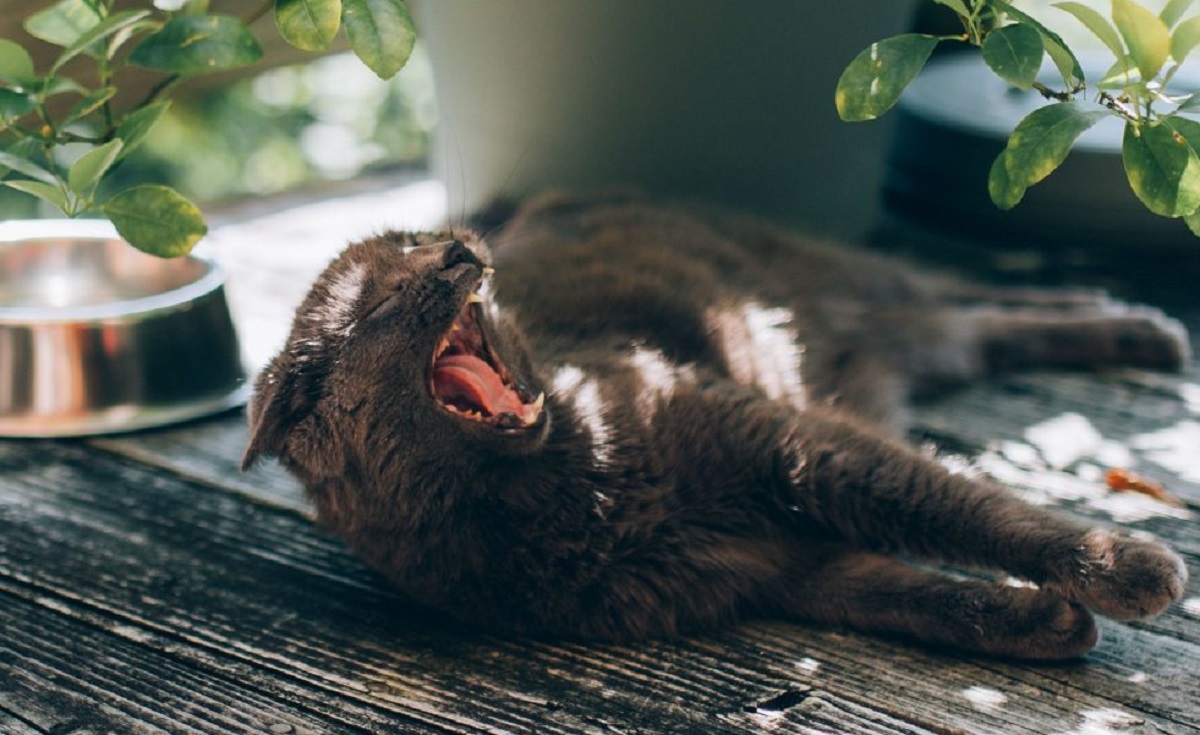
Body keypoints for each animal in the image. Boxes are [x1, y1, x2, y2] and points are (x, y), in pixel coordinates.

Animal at [243, 190, 1190, 658]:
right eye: (384, 300)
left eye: (421, 238)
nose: (457, 249)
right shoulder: (768, 571)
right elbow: (909, 596)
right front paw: (1045, 624)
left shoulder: (797, 446)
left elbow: (959, 506)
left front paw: (1125, 568)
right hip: (908, 332)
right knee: (980, 324)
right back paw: (1131, 323)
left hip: (858, 288)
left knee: (973, 295)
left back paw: (1138, 322)